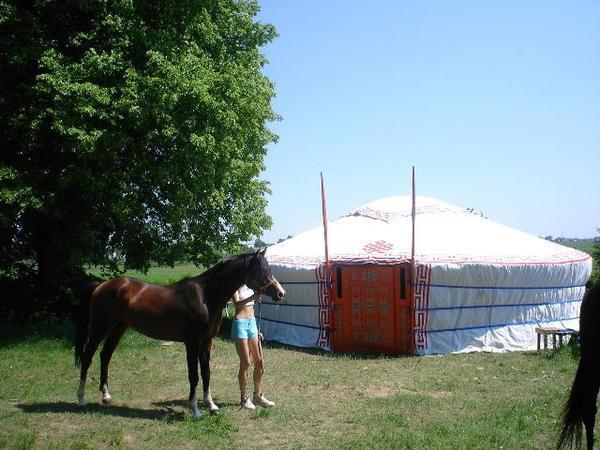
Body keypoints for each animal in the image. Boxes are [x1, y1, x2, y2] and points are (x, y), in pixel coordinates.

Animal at [74, 250, 284, 418]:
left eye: (269, 269)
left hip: (118, 328)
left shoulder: (206, 342)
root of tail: (101, 285)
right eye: (261, 270)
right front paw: (196, 410)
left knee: (105, 355)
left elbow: (206, 372)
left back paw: (106, 396)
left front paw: (211, 406)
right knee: (87, 357)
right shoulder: (192, 342)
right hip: (100, 328)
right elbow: (194, 376)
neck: (205, 296)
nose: (281, 293)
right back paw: (81, 399)